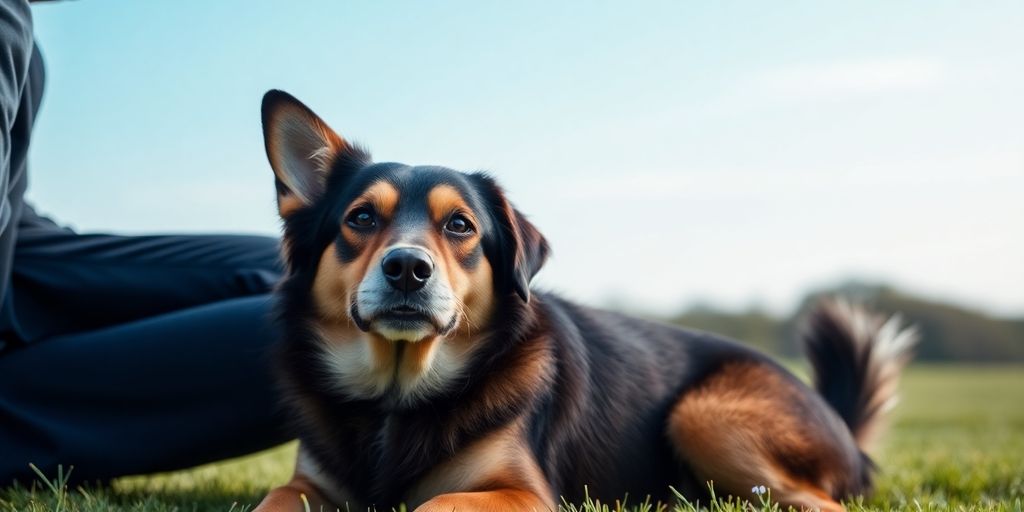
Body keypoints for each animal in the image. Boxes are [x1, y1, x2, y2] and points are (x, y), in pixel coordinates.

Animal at [251, 90, 917, 509]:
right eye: (361, 218)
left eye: (461, 226)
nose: (408, 269)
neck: (397, 397)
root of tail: (844, 428)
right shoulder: (308, 486)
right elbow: (274, 497)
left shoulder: (525, 492)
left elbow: (436, 504)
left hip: (703, 415)